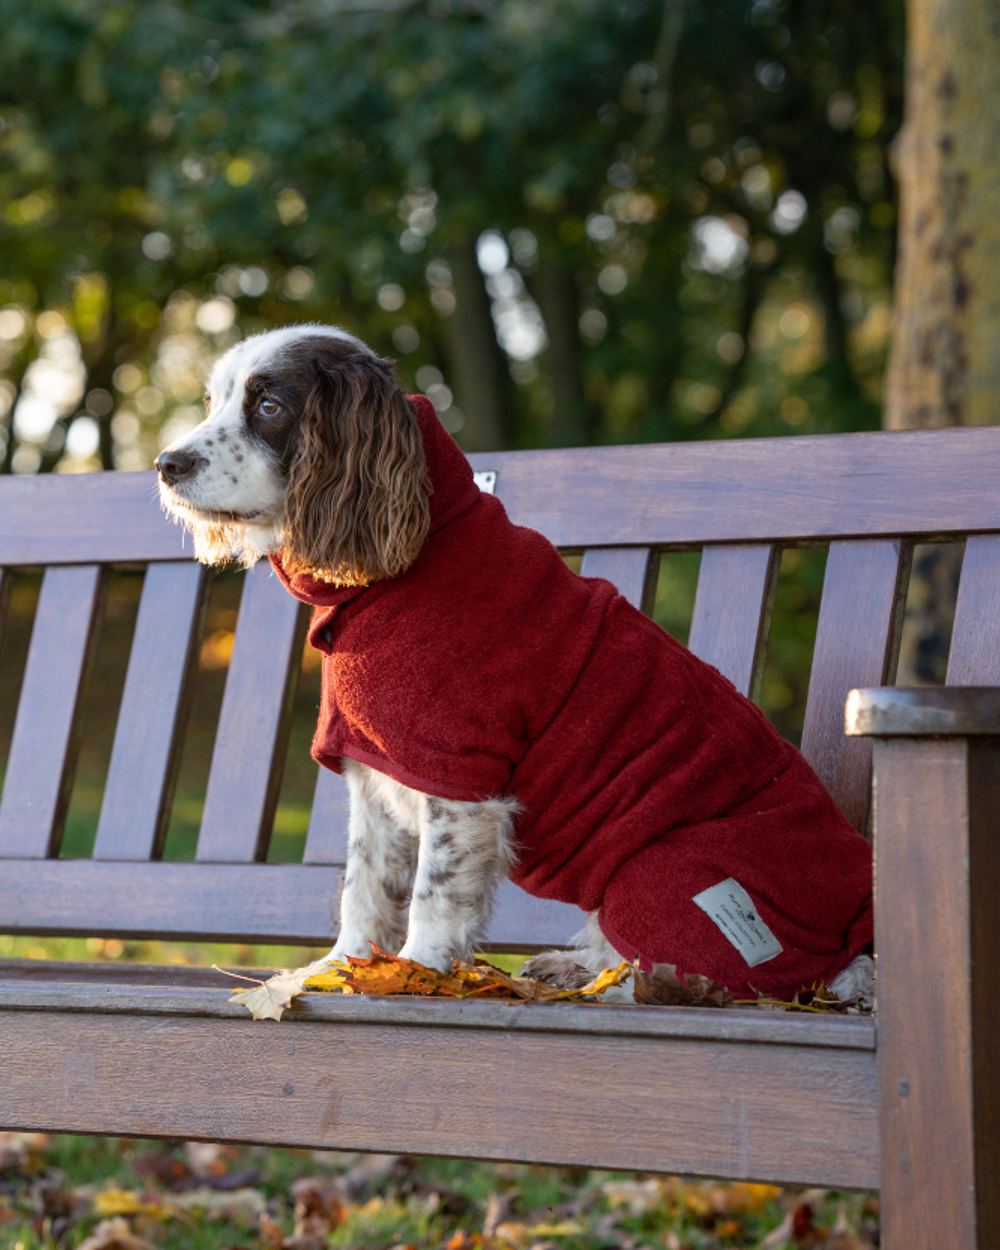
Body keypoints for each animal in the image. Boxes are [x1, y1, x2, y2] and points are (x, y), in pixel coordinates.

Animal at [156, 325, 875, 1005]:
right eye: (213, 400)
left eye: (269, 405)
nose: (166, 462)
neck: (405, 563)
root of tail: (856, 939)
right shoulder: (374, 772)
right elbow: (366, 886)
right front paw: (341, 968)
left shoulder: (458, 776)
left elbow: (434, 892)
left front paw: (416, 972)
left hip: (659, 876)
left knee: (700, 981)